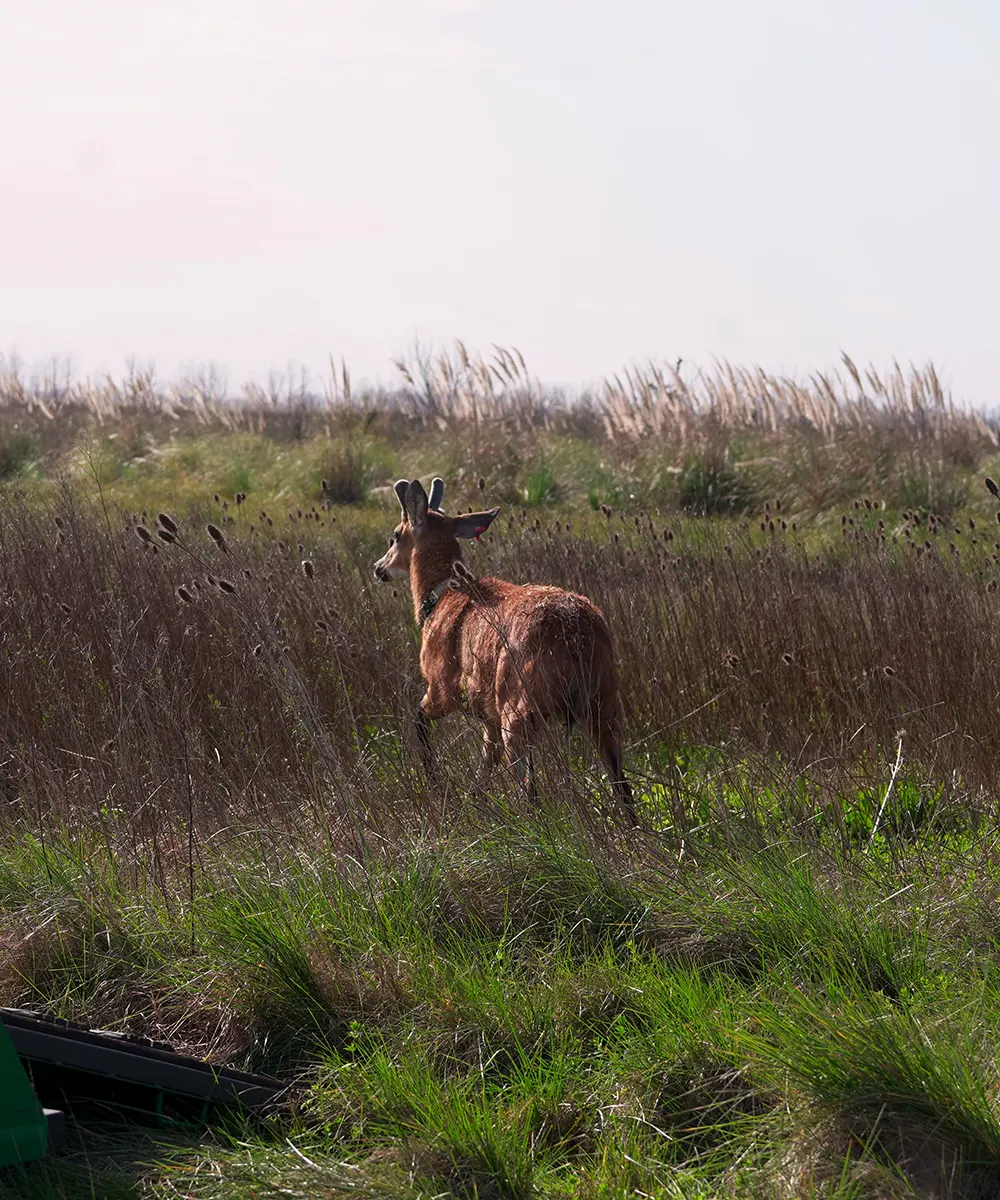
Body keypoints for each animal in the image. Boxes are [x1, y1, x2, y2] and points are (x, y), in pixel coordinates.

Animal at [373, 476, 636, 824]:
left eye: (395, 535)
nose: (379, 567)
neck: (440, 598)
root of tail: (576, 634)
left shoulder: (443, 685)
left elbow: (419, 720)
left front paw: (435, 782)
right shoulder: (488, 713)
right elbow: (486, 761)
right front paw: (472, 802)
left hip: (520, 703)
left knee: (530, 789)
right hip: (605, 700)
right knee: (621, 783)